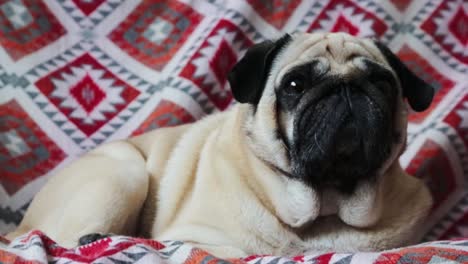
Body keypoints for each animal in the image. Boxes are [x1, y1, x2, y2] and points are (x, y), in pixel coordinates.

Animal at [7, 32, 434, 258]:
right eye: (295, 85)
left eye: (382, 83)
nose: (346, 88)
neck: (324, 209)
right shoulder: (204, 242)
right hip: (123, 172)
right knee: (66, 241)